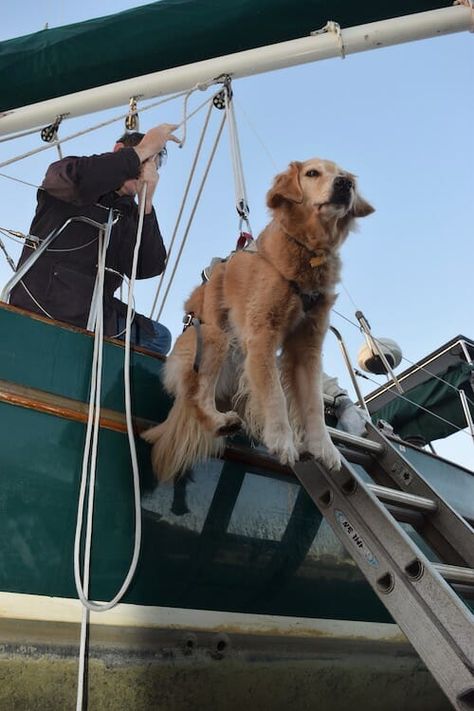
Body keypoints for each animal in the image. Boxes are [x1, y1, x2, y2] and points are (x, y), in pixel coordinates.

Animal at [142, 159, 374, 482]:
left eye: (344, 175)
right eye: (312, 173)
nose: (344, 184)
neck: (307, 249)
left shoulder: (308, 349)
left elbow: (313, 404)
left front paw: (324, 448)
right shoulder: (263, 335)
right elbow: (275, 394)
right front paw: (282, 441)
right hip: (216, 338)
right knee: (197, 397)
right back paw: (219, 420)